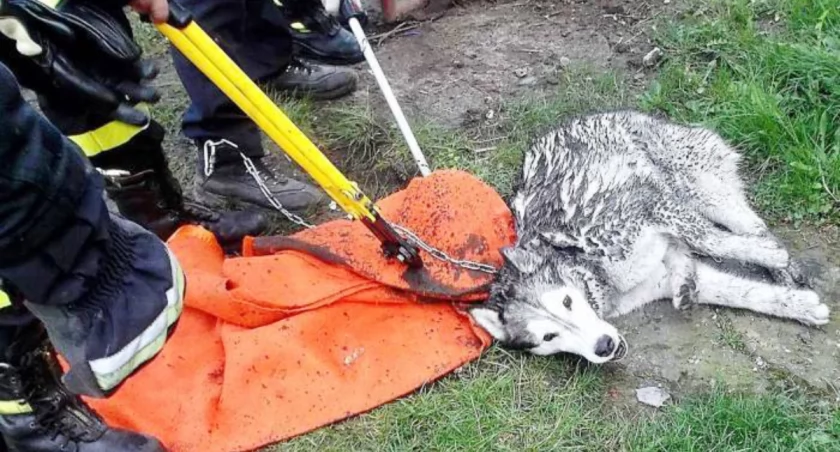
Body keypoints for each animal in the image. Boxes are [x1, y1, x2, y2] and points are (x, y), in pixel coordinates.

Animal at [470, 109, 832, 364]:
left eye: (567, 302)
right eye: (548, 337)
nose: (603, 346)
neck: (589, 266)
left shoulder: (648, 205)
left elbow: (707, 239)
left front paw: (773, 259)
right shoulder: (657, 275)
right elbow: (741, 292)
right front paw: (800, 307)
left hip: (694, 188)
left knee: (748, 226)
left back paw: (779, 262)